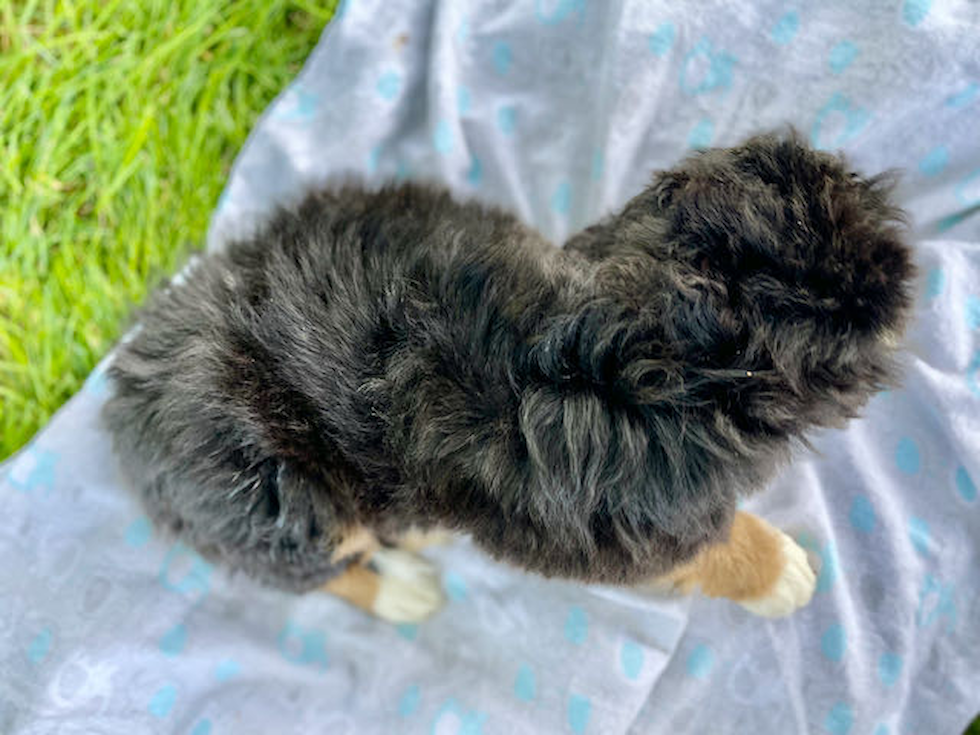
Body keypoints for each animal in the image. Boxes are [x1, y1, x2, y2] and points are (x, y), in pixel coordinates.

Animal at [103, 131, 916, 620]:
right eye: (841, 316)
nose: (899, 262)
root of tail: (121, 402)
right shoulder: (623, 531)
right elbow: (714, 549)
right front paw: (782, 573)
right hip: (277, 501)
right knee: (325, 565)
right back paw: (407, 593)